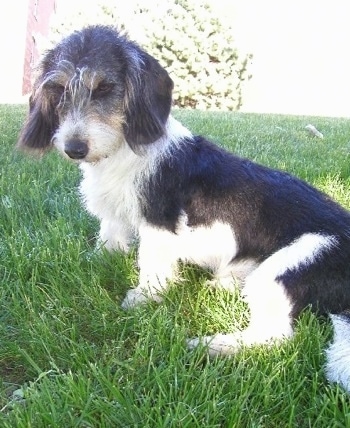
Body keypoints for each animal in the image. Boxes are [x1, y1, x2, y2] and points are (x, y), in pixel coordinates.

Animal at [17, 23, 350, 392]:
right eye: (59, 88)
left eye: (104, 88)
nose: (74, 148)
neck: (124, 150)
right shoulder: (114, 218)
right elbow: (107, 244)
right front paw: (90, 262)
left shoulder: (158, 224)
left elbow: (151, 265)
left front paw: (143, 299)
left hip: (289, 264)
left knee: (275, 337)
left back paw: (212, 345)